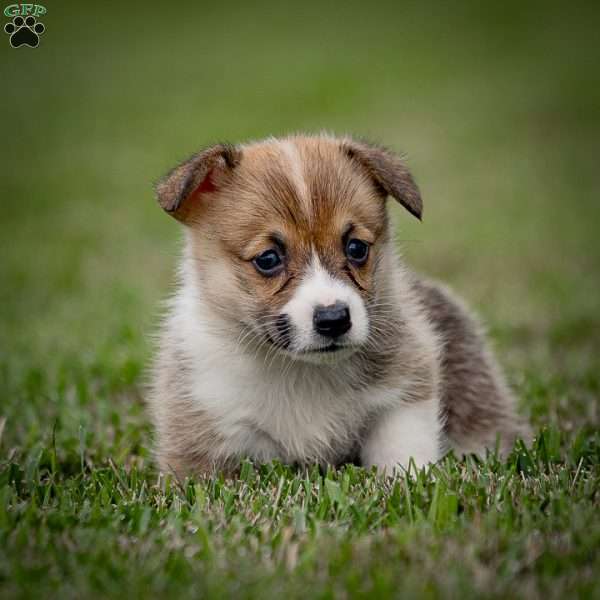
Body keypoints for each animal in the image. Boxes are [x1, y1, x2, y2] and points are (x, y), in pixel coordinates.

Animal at [149, 134, 528, 476]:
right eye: (268, 259)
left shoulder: (404, 392)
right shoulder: (205, 430)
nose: (333, 319)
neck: (300, 371)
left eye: (356, 248)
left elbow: (402, 452)